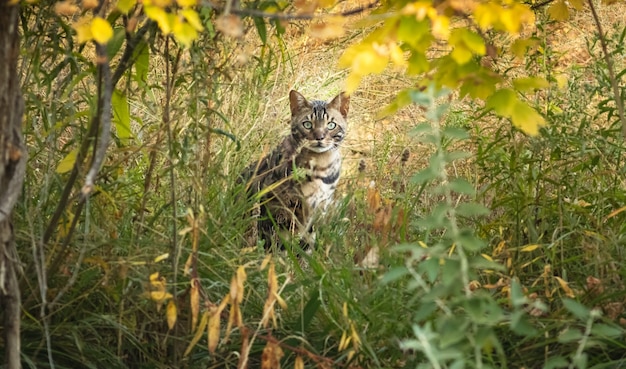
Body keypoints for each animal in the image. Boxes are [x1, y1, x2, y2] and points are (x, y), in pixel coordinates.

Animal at [239, 89, 348, 250]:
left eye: (331, 125)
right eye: (307, 124)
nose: (319, 137)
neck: (320, 165)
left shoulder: (320, 207)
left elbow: (308, 239)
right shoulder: (281, 203)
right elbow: (280, 238)